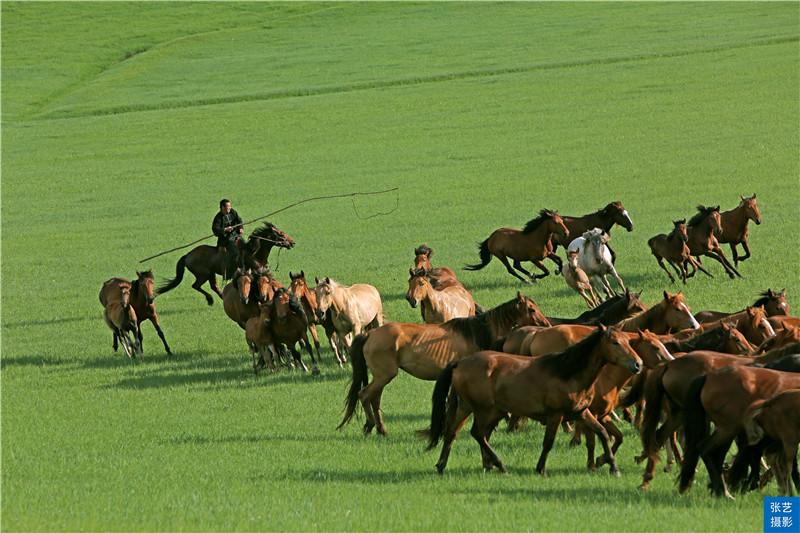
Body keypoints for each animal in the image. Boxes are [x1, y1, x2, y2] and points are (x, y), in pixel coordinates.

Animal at [156, 219, 294, 304]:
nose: (292, 242)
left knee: (213, 286)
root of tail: (187, 255)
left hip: (210, 274)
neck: (254, 252)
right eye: (281, 234)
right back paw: (210, 300)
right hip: (203, 274)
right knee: (196, 286)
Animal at [338, 290, 552, 436]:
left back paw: (381, 429)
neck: (476, 332)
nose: (547, 324)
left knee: (373, 399)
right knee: (364, 395)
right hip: (384, 375)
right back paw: (371, 426)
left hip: (382, 377)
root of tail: (371, 334)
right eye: (531, 309)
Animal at [424, 326, 644, 476]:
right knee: (477, 434)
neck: (568, 373)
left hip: (468, 407)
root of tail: (461, 362)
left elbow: (603, 434)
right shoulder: (556, 415)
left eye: (628, 341)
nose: (638, 364)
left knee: (453, 433)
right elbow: (548, 443)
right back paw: (499, 465)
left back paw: (444, 465)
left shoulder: (581, 412)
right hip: (484, 410)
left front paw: (613, 467)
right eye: (615, 343)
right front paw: (540, 469)